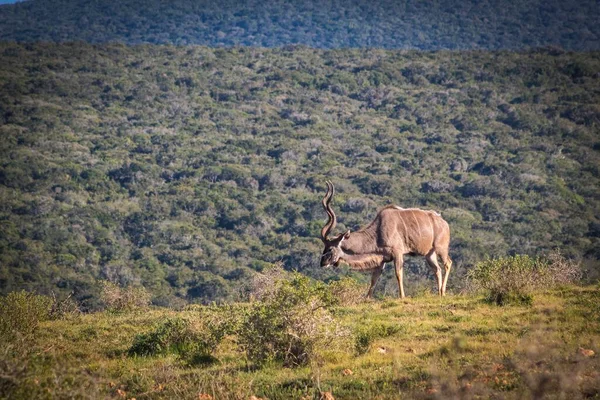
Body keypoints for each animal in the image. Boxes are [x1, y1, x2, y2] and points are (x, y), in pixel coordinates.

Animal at [318, 181, 450, 296]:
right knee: (437, 269)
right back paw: (439, 293)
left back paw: (443, 292)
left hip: (441, 249)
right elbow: (374, 279)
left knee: (447, 263)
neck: (378, 232)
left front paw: (402, 297)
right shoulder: (381, 260)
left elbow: (398, 274)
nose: (322, 263)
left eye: (330, 249)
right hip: (429, 254)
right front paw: (366, 299)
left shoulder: (397, 253)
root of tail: (444, 223)